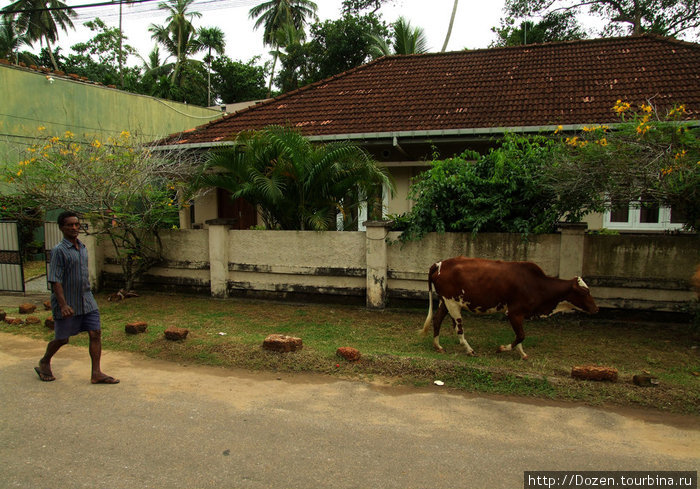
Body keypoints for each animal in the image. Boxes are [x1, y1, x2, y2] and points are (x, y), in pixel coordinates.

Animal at [418, 255, 600, 358]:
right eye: (585, 291)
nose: (596, 309)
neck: (537, 284)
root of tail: (440, 263)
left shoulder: (520, 314)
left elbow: (520, 335)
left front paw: (522, 353)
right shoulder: (514, 312)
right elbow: (521, 335)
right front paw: (502, 349)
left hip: (445, 301)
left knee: (437, 319)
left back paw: (438, 346)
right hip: (452, 303)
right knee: (458, 329)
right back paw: (469, 350)